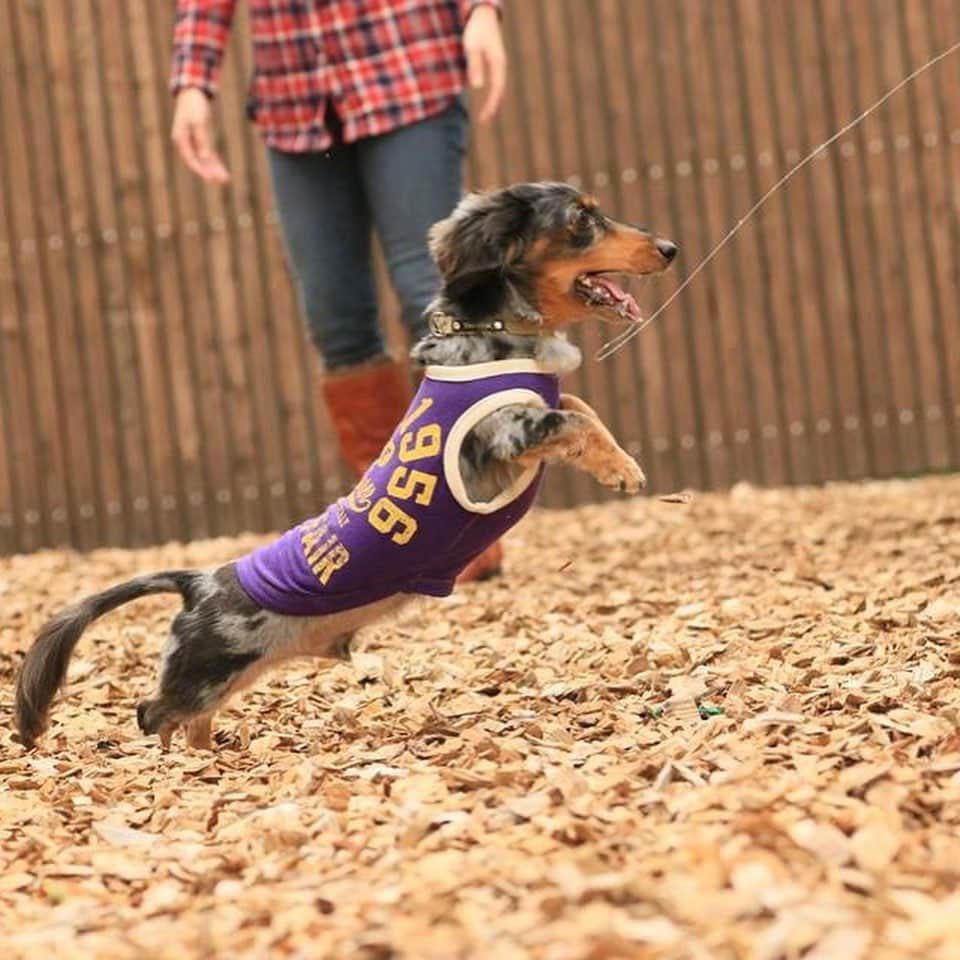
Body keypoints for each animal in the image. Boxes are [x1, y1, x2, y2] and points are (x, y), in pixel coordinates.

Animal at [15, 180, 676, 752]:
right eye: (582, 219)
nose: (670, 248)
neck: (491, 332)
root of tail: (200, 580)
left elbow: (578, 405)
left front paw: (620, 458)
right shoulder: (505, 434)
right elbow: (570, 420)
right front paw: (623, 473)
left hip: (227, 678)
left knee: (190, 719)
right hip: (205, 671)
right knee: (152, 713)